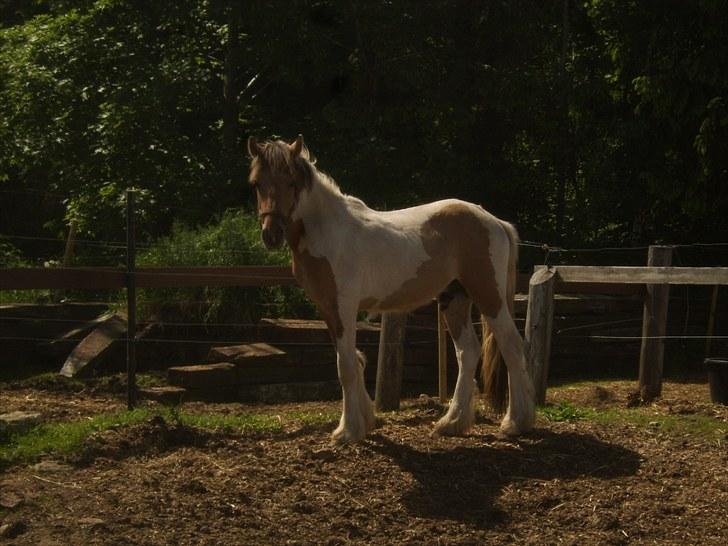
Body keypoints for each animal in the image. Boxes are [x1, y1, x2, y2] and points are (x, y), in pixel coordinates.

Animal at [245, 133, 536, 442]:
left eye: (291, 181)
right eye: (256, 183)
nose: (271, 234)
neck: (328, 232)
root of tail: (495, 222)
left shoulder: (344, 306)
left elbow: (346, 366)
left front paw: (347, 430)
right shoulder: (327, 308)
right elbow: (353, 360)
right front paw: (366, 421)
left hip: (489, 295)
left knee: (511, 347)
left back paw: (516, 422)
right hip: (454, 298)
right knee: (468, 352)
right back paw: (452, 422)